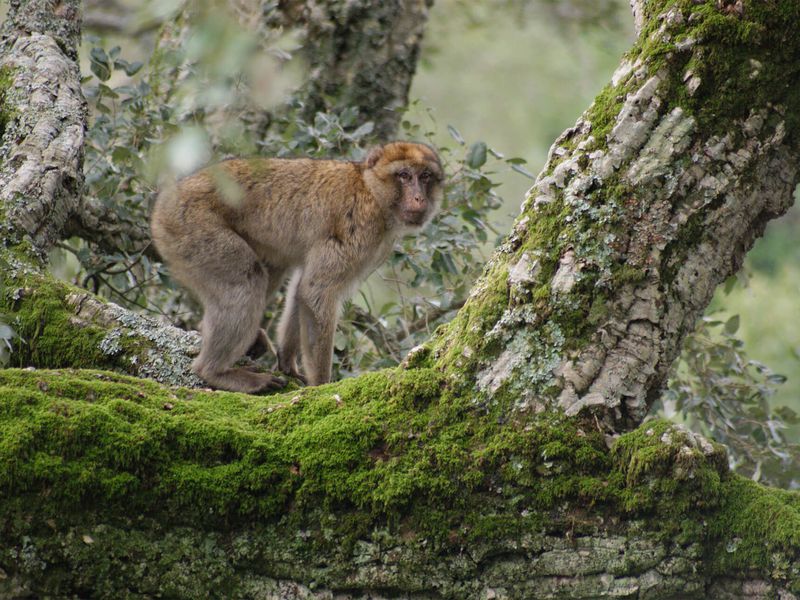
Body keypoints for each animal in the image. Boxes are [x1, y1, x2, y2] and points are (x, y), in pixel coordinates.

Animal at [148, 141, 444, 394]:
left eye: (426, 176)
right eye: (404, 175)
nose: (419, 198)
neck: (372, 192)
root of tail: (162, 204)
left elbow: (301, 289)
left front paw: (287, 361)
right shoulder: (358, 228)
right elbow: (316, 292)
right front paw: (321, 387)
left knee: (272, 269)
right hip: (194, 228)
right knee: (247, 280)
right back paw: (214, 372)